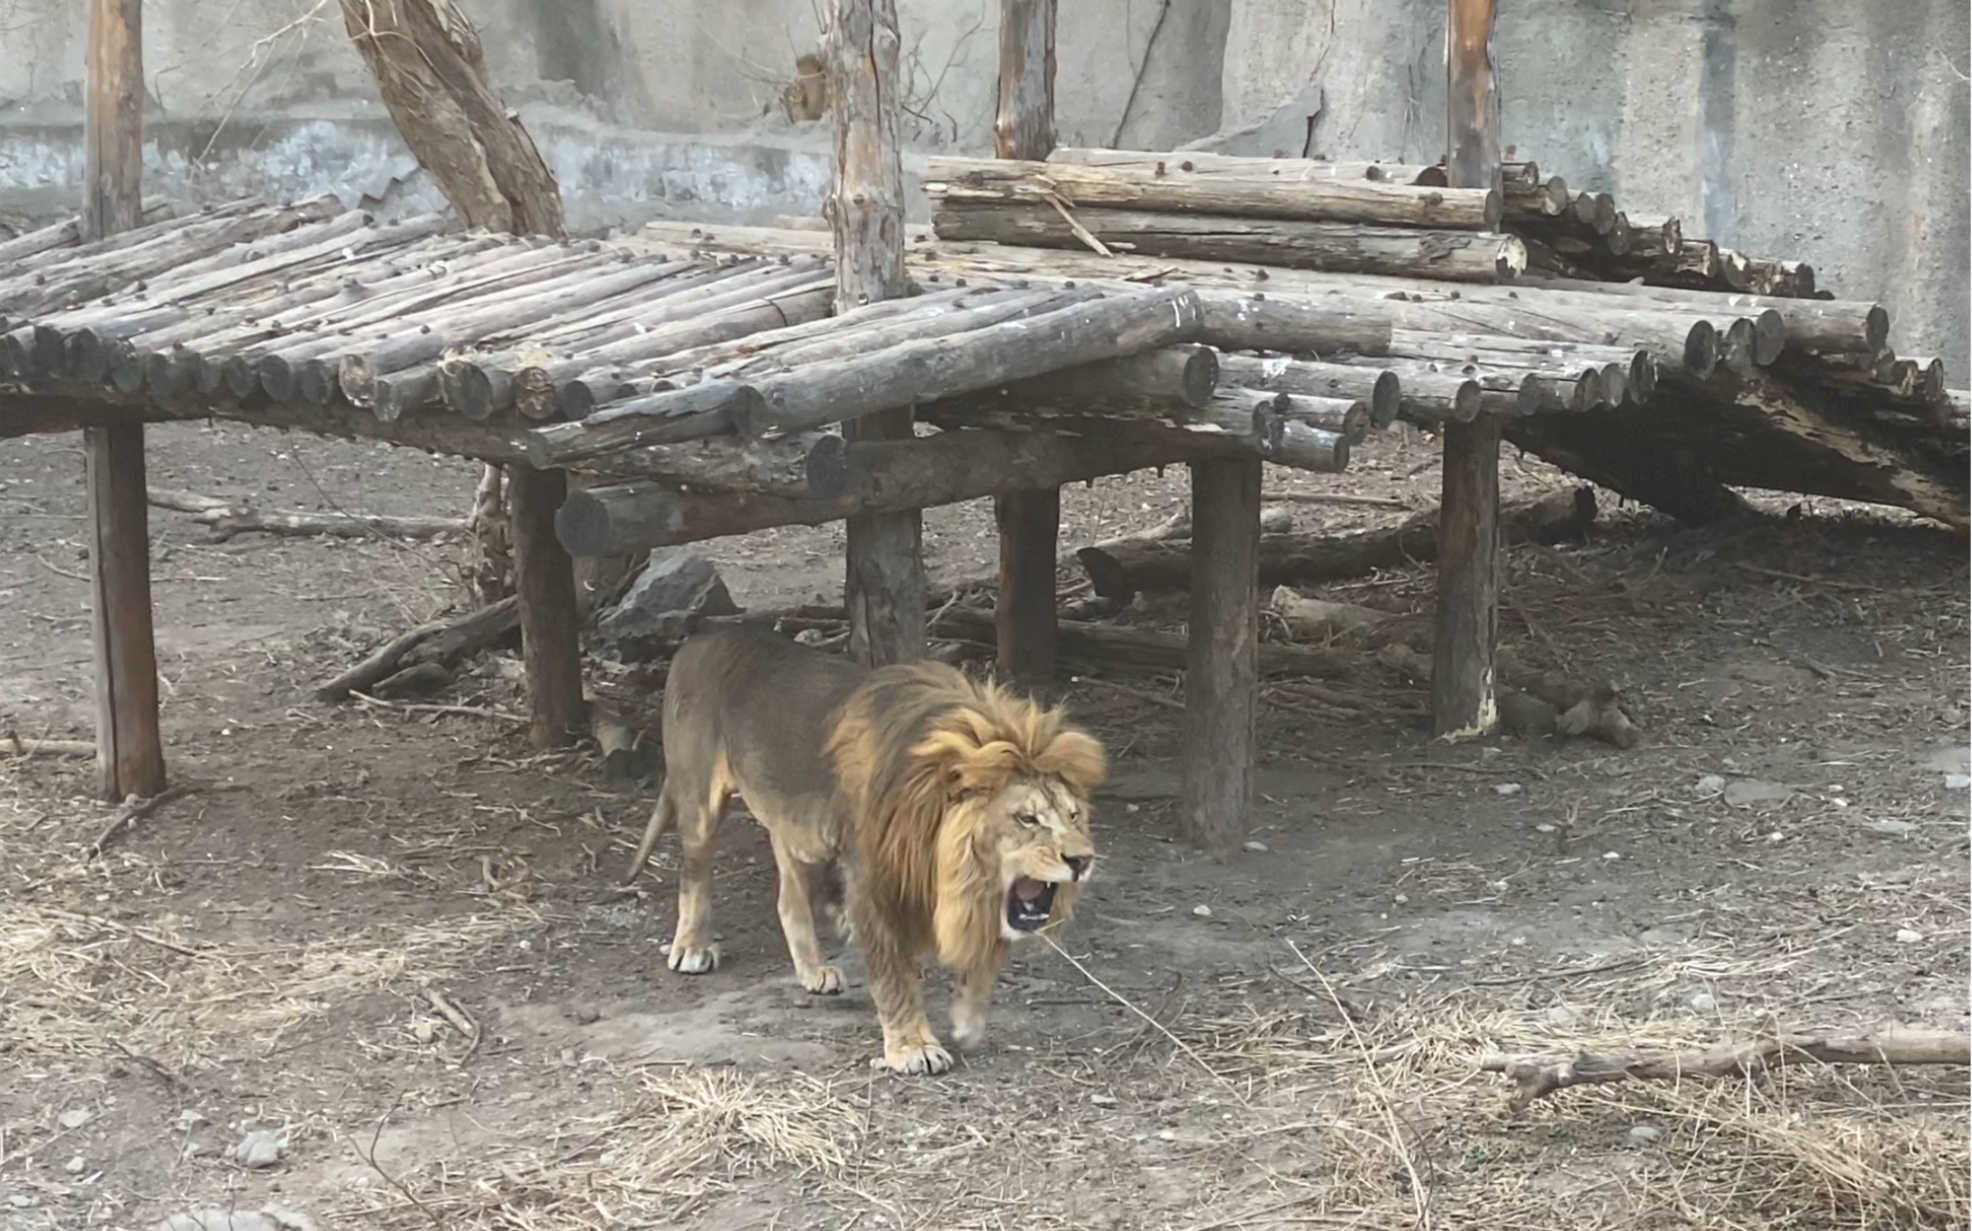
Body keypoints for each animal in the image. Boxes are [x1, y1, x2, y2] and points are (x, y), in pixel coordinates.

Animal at [623, 631, 1104, 1073]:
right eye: (1027, 819)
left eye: (1073, 815)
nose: (1082, 860)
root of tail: (699, 638)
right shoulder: (873, 884)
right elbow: (894, 975)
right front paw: (913, 1047)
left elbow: (981, 960)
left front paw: (969, 1020)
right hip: (699, 799)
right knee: (694, 873)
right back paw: (692, 947)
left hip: (798, 826)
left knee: (789, 898)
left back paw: (812, 971)